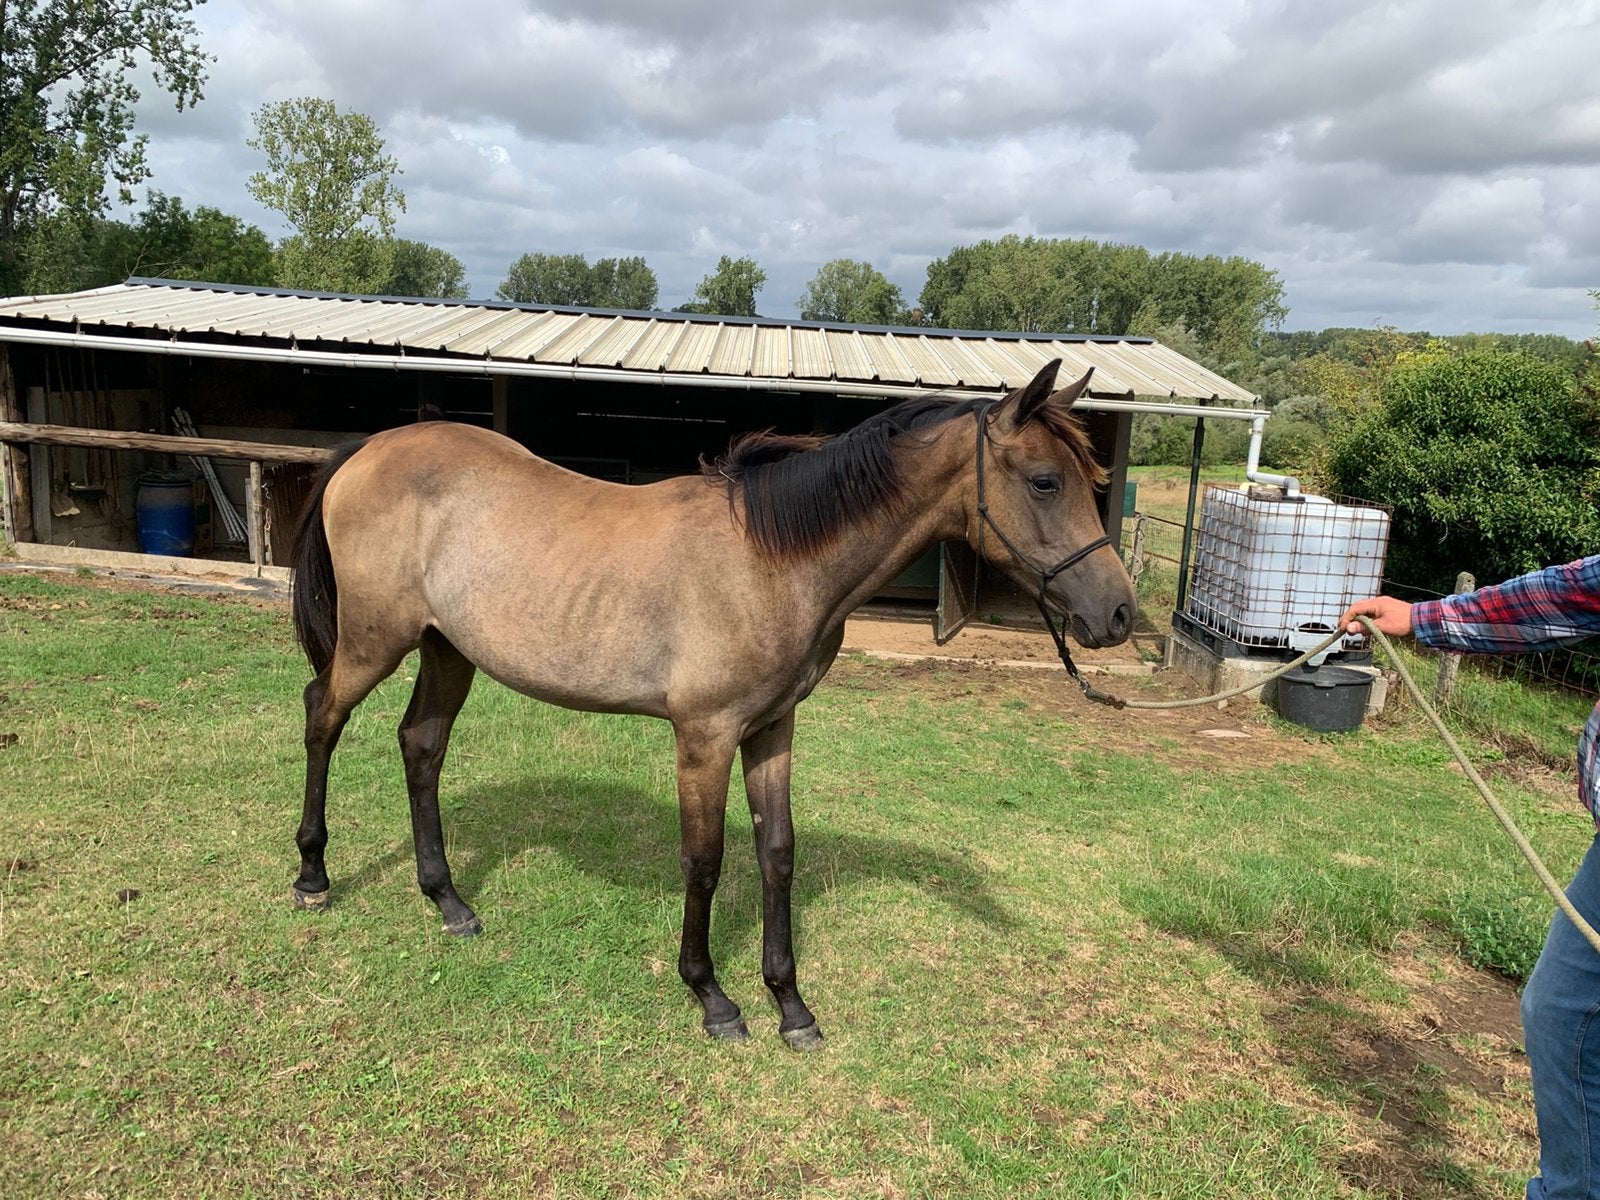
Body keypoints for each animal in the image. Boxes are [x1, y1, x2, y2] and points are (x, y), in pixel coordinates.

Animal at [287, 358, 1136, 1050]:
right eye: (1044, 481)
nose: (1120, 614)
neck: (771, 560)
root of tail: (368, 450)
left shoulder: (772, 728)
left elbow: (777, 852)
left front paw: (790, 1006)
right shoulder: (705, 735)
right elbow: (704, 861)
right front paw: (713, 998)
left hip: (447, 650)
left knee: (420, 745)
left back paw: (449, 902)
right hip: (372, 644)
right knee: (321, 715)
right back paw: (313, 875)